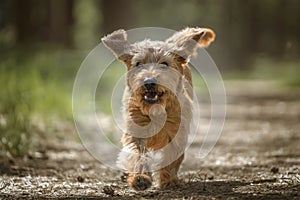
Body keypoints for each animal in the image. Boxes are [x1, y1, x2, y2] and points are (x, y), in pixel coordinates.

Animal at [102, 27, 214, 191]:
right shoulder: (136, 132)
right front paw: (140, 178)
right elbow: (137, 154)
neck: (155, 111)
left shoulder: (177, 133)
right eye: (138, 63)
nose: (149, 82)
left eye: (165, 64)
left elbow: (172, 156)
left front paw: (168, 181)